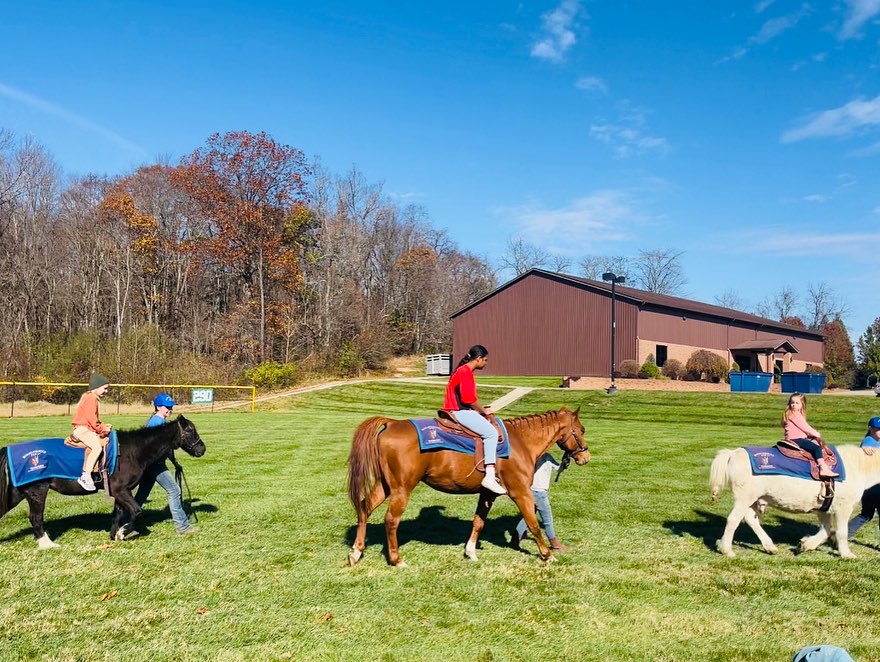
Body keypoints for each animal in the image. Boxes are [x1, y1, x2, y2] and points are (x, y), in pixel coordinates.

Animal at [0, 416, 205, 548]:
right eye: (191, 430)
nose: (202, 449)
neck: (132, 451)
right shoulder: (121, 490)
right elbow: (137, 512)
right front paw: (122, 533)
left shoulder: (120, 492)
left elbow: (117, 515)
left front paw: (115, 535)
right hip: (37, 491)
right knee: (36, 518)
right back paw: (48, 544)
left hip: (18, 493)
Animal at [346, 408, 592, 568]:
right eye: (581, 429)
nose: (586, 457)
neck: (521, 442)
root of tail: (392, 423)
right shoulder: (520, 492)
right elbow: (533, 523)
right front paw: (547, 555)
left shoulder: (488, 493)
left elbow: (478, 522)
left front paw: (470, 551)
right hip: (401, 489)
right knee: (391, 520)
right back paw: (396, 559)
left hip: (385, 485)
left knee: (365, 507)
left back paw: (356, 552)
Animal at [708, 446, 880, 560]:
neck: (858, 467)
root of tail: (733, 454)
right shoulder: (843, 508)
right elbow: (841, 532)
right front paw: (847, 554)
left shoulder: (824, 509)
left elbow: (826, 530)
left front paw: (806, 545)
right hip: (744, 498)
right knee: (733, 520)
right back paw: (726, 549)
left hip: (753, 500)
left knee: (751, 519)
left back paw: (769, 547)